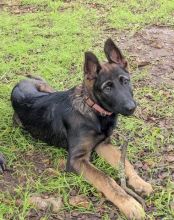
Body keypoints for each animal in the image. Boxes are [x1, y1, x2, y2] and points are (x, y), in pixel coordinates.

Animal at [10, 38, 152, 219]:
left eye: (125, 81)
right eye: (107, 88)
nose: (131, 108)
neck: (93, 110)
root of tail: (20, 82)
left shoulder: (103, 144)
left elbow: (125, 163)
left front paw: (140, 183)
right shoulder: (77, 159)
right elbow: (106, 179)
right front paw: (129, 204)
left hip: (48, 89)